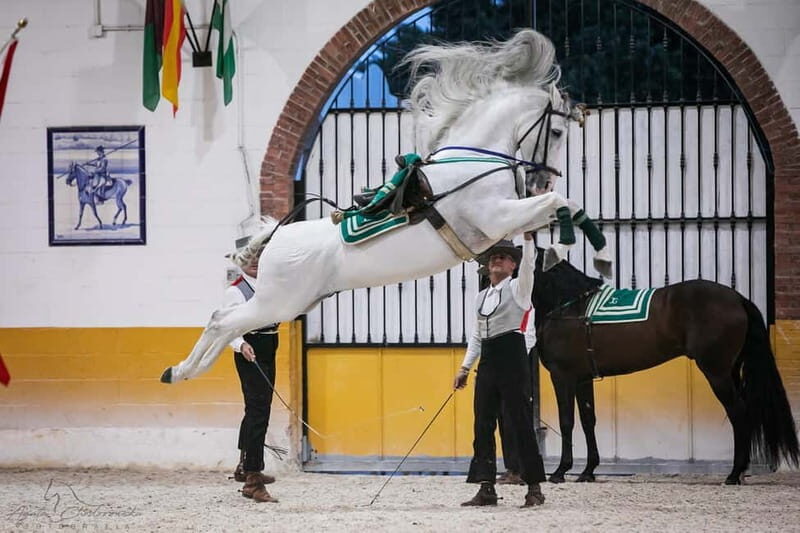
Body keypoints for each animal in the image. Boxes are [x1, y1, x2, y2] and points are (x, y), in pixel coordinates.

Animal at [160, 29, 612, 384]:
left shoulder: (505, 222)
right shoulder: (495, 215)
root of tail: (275, 237)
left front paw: (570, 253)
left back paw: (183, 371)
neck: (473, 158)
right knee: (222, 321)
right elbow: (563, 202)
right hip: (278, 303)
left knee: (223, 321)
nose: (542, 178)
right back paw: (182, 371)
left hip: (288, 303)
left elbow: (559, 212)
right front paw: (583, 253)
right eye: (557, 132)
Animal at [531, 251, 799, 485]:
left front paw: (560, 471)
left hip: (717, 373)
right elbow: (588, 421)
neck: (570, 307)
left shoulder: (563, 376)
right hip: (730, 371)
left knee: (738, 412)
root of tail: (738, 299)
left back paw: (734, 474)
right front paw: (587, 471)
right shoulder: (583, 378)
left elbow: (567, 421)